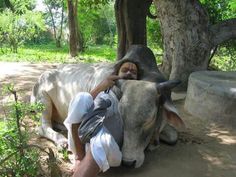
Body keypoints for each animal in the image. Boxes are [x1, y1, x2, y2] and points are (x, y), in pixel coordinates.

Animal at [31, 45, 185, 168]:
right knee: (43, 127)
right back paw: (61, 140)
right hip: (43, 101)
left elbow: (173, 136)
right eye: (122, 119)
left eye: (150, 120)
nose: (128, 162)